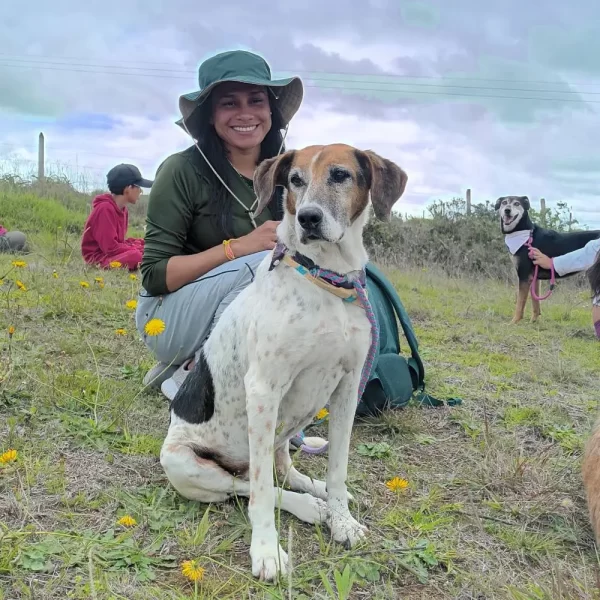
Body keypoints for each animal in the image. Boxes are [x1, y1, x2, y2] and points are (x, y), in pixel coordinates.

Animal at [159, 142, 406, 580]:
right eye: (295, 180)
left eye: (340, 175)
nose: (308, 218)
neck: (326, 278)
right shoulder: (263, 390)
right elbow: (259, 493)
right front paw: (266, 551)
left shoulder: (348, 389)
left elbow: (338, 469)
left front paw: (342, 521)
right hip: (183, 463)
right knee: (247, 486)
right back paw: (306, 507)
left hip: (283, 428)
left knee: (284, 468)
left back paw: (315, 491)